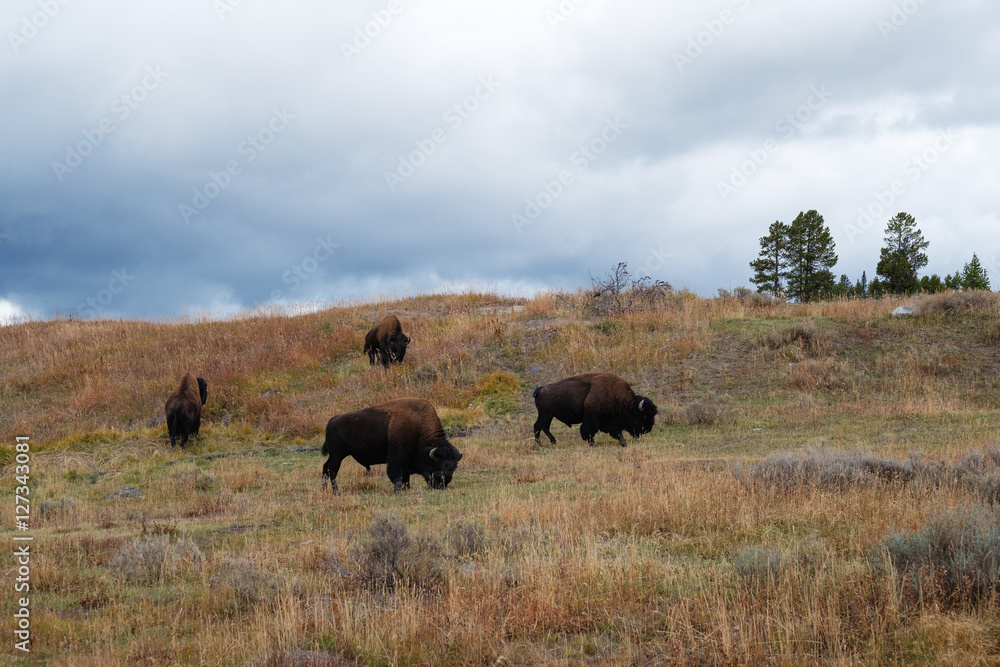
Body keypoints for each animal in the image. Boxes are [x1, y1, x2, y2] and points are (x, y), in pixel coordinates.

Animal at [321, 398, 462, 493]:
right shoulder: (398, 457)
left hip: (336, 455)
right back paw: (336, 492)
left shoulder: (407, 462)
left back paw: (324, 489)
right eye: (440, 465)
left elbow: (406, 476)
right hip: (337, 455)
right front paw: (398, 490)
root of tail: (332, 420)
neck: (417, 426)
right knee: (332, 471)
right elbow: (398, 474)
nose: (442, 485)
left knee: (325, 468)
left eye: (454, 467)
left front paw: (407, 488)